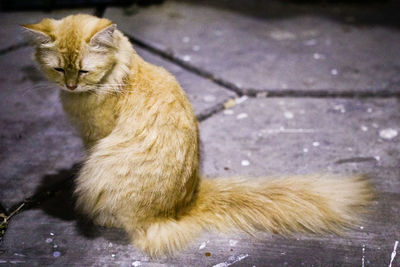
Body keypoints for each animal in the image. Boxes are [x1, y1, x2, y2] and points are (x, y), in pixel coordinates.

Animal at [23, 14, 374, 258]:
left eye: (83, 71)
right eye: (59, 69)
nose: (70, 86)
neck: (122, 71)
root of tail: (184, 205)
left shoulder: (94, 138)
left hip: (97, 172)